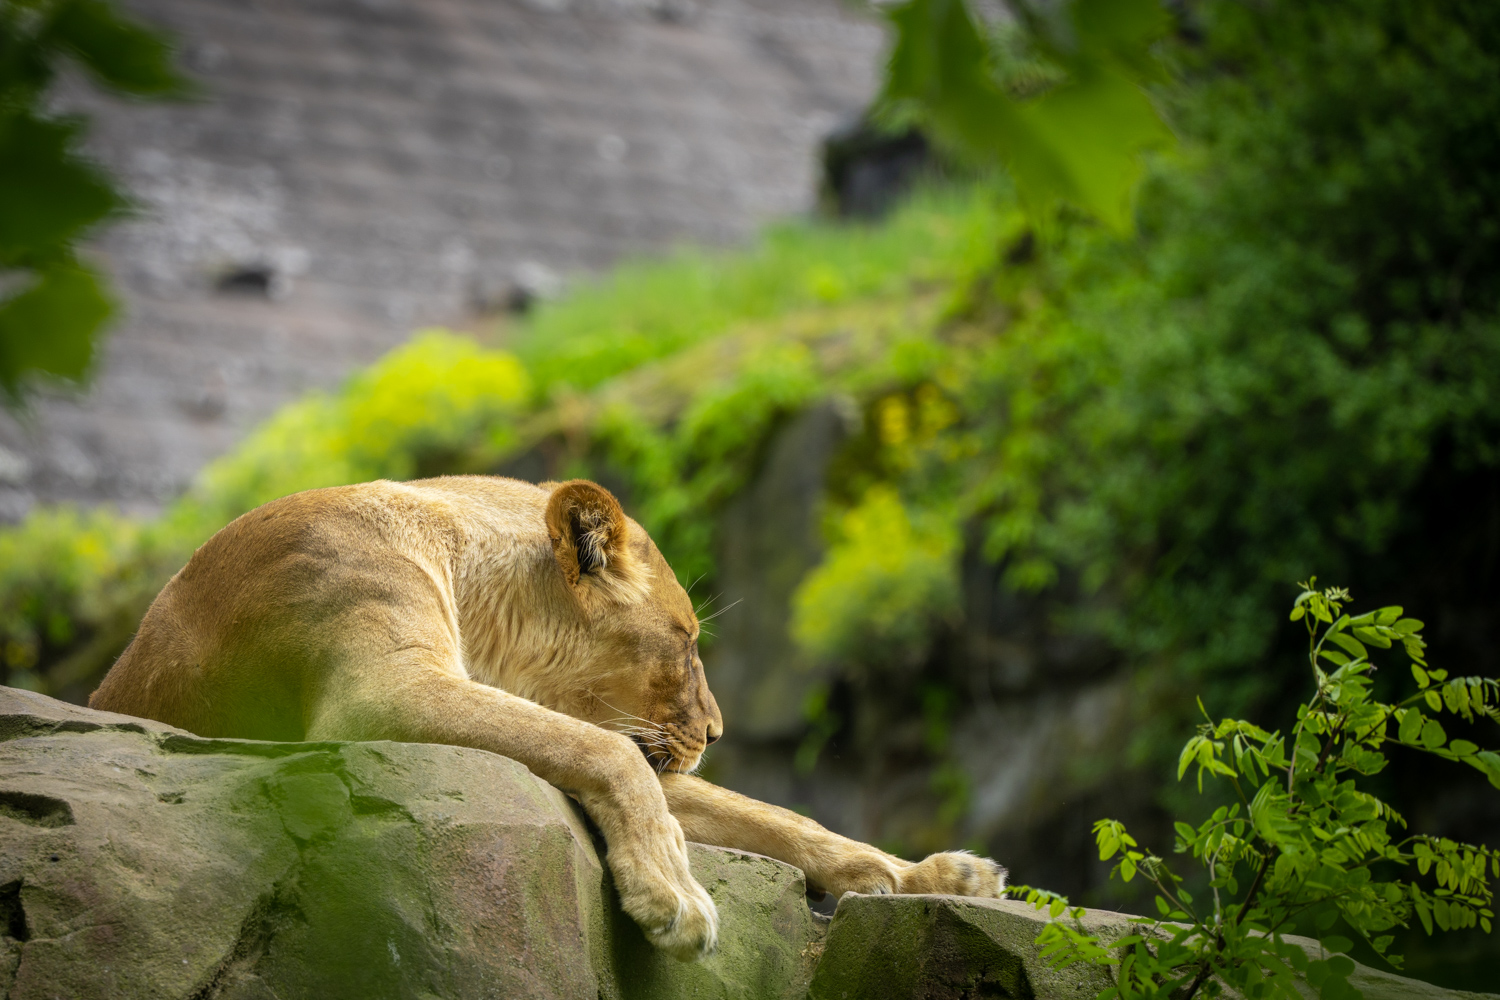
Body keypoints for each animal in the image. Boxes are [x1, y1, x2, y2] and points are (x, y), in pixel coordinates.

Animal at [90, 476, 1006, 960]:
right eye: (685, 641)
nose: (715, 735)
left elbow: (773, 814)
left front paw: (935, 877)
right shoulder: (379, 690)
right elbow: (608, 753)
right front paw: (673, 891)